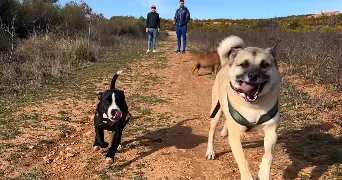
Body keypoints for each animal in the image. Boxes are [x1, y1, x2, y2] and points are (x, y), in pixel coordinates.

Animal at [206, 35, 280, 180]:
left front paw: (263, 173)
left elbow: (268, 156)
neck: (253, 106)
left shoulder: (271, 132)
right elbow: (242, 160)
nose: (253, 76)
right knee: (211, 132)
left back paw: (224, 131)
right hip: (216, 113)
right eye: (244, 64)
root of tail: (225, 65)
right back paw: (210, 151)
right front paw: (247, 176)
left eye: (264, 65)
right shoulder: (235, 138)